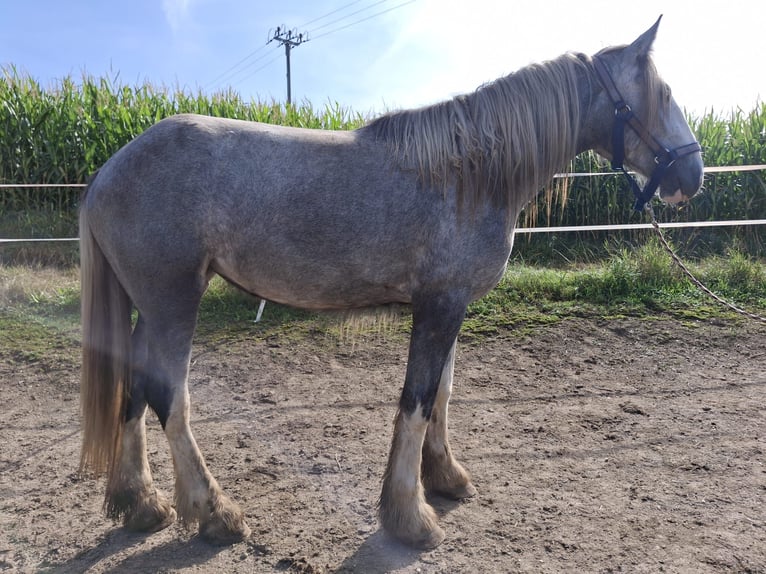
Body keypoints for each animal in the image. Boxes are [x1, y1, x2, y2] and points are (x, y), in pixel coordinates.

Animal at [79, 17, 703, 549]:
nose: (692, 175)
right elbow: (417, 401)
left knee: (134, 389)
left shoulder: (449, 307)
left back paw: (141, 504)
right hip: (174, 301)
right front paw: (409, 516)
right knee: (169, 397)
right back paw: (215, 514)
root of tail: (108, 173)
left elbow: (442, 393)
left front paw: (445, 476)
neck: (469, 173)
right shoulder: (440, 305)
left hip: (150, 307)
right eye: (665, 93)